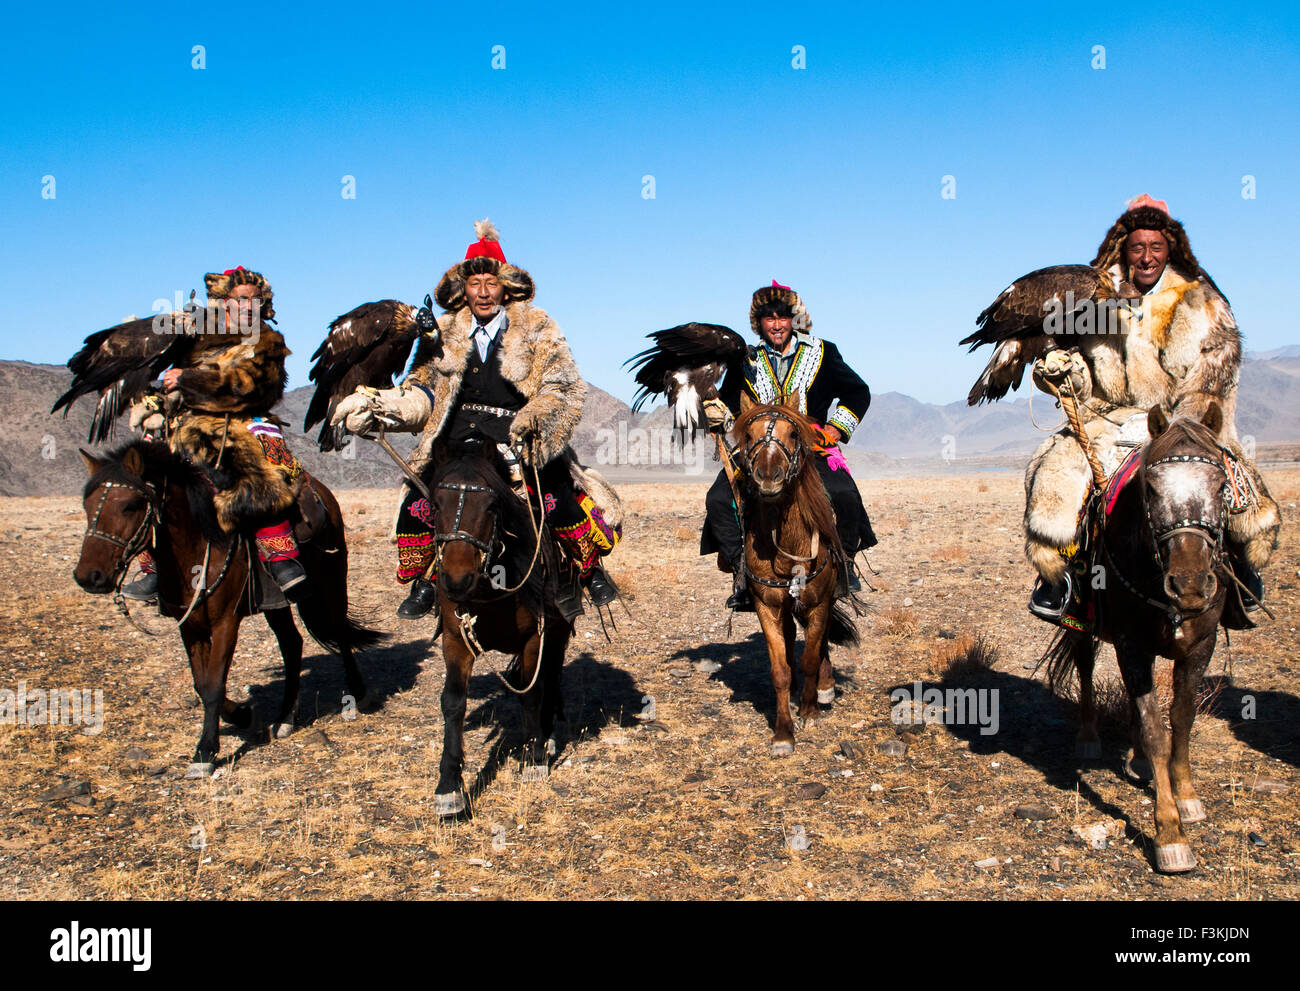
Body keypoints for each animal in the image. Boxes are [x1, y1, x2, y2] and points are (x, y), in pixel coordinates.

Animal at [74, 436, 379, 769]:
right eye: (86, 506)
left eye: (130, 505)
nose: (89, 577)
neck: (199, 546)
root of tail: (320, 490)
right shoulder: (189, 626)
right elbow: (200, 682)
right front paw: (244, 716)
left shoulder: (225, 622)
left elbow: (214, 685)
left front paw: (205, 751)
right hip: (276, 602)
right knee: (292, 643)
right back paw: (286, 717)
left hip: (331, 581)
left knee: (339, 632)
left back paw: (359, 694)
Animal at [426, 444, 574, 816]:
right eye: (435, 504)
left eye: (492, 506)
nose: (457, 580)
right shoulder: (455, 639)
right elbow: (453, 702)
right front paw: (449, 789)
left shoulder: (535, 637)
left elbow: (532, 693)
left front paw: (534, 759)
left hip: (560, 627)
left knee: (551, 674)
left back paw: (549, 736)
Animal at [738, 397, 857, 754]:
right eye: (748, 435)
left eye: (793, 433)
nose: (768, 478)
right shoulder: (767, 606)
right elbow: (780, 669)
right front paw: (783, 733)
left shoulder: (818, 602)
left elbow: (810, 658)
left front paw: (810, 711)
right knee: (793, 638)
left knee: (819, 642)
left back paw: (825, 687)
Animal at [1045, 400, 1227, 873]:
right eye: (1153, 489)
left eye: (1222, 485)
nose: (1189, 585)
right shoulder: (1131, 643)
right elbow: (1154, 729)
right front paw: (1170, 836)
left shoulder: (1201, 646)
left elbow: (1181, 719)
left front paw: (1186, 796)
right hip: (1084, 627)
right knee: (1086, 671)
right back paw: (1090, 739)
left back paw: (1137, 761)